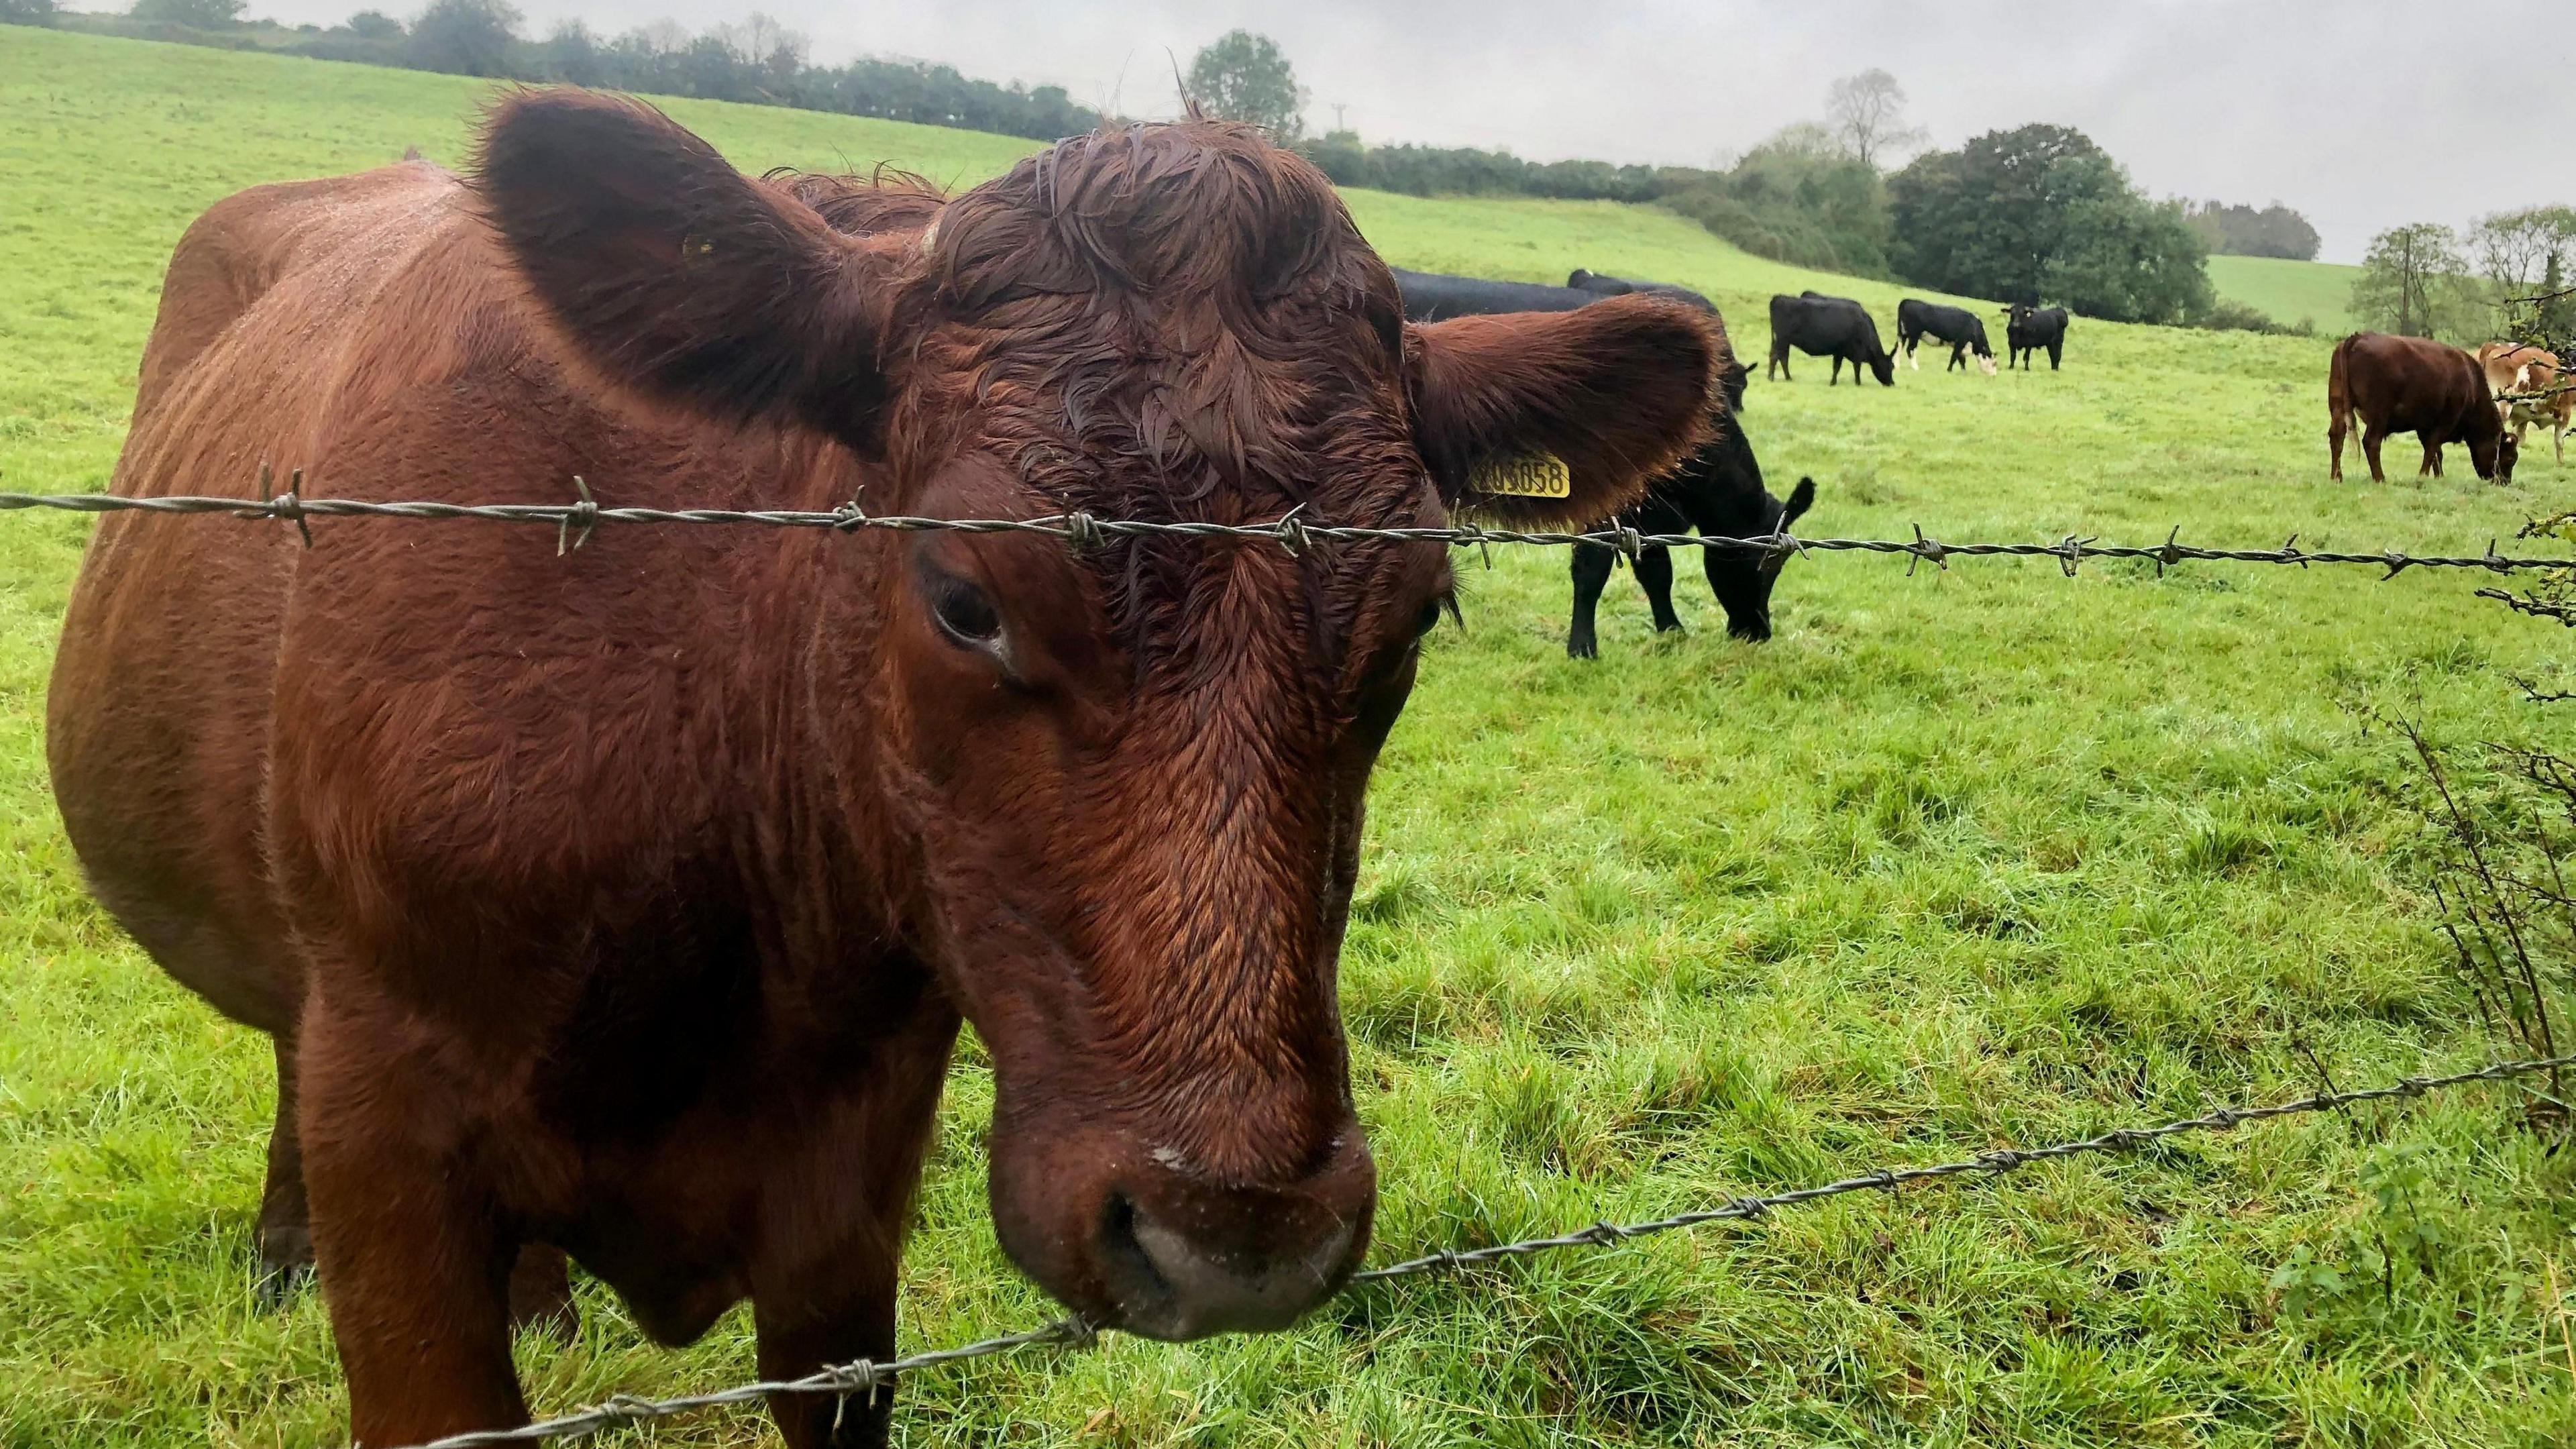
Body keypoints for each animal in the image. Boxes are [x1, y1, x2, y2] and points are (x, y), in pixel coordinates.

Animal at [1401, 269, 1823, 649]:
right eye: (1763, 564)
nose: (1758, 631)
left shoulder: (1647, 514)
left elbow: (1656, 570)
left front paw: (1671, 630)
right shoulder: (1601, 506)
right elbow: (1592, 569)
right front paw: (1582, 646)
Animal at [1772, 288, 1896, 384]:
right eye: (1890, 367)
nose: (1892, 383)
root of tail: (1778, 298)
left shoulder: (1839, 352)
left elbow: (1838, 368)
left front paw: (1834, 382)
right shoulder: (1851, 353)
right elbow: (1853, 368)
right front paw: (1857, 383)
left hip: (1780, 341)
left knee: (1778, 356)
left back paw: (1775, 377)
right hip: (1782, 340)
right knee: (1779, 357)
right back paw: (1782, 378)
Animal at [1896, 297, 1988, 374]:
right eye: (1993, 363)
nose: (1992, 375)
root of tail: (1906, 301)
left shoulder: (1960, 346)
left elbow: (1961, 360)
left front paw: (1963, 372)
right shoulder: (1961, 342)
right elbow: (1954, 357)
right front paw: (1949, 370)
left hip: (1903, 333)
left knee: (1900, 347)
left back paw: (1897, 367)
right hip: (1914, 335)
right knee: (1910, 349)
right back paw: (1915, 367)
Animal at [2318, 329, 2514, 482]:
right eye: (2510, 459)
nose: (2503, 482)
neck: (2470, 381)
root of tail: (2357, 337)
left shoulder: (2424, 425)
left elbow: (2436, 453)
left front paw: (2438, 477)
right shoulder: (2445, 421)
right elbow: (2433, 449)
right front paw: (2423, 476)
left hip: (2338, 407)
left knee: (2337, 436)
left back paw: (2336, 477)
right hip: (2379, 414)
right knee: (2371, 442)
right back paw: (2380, 478)